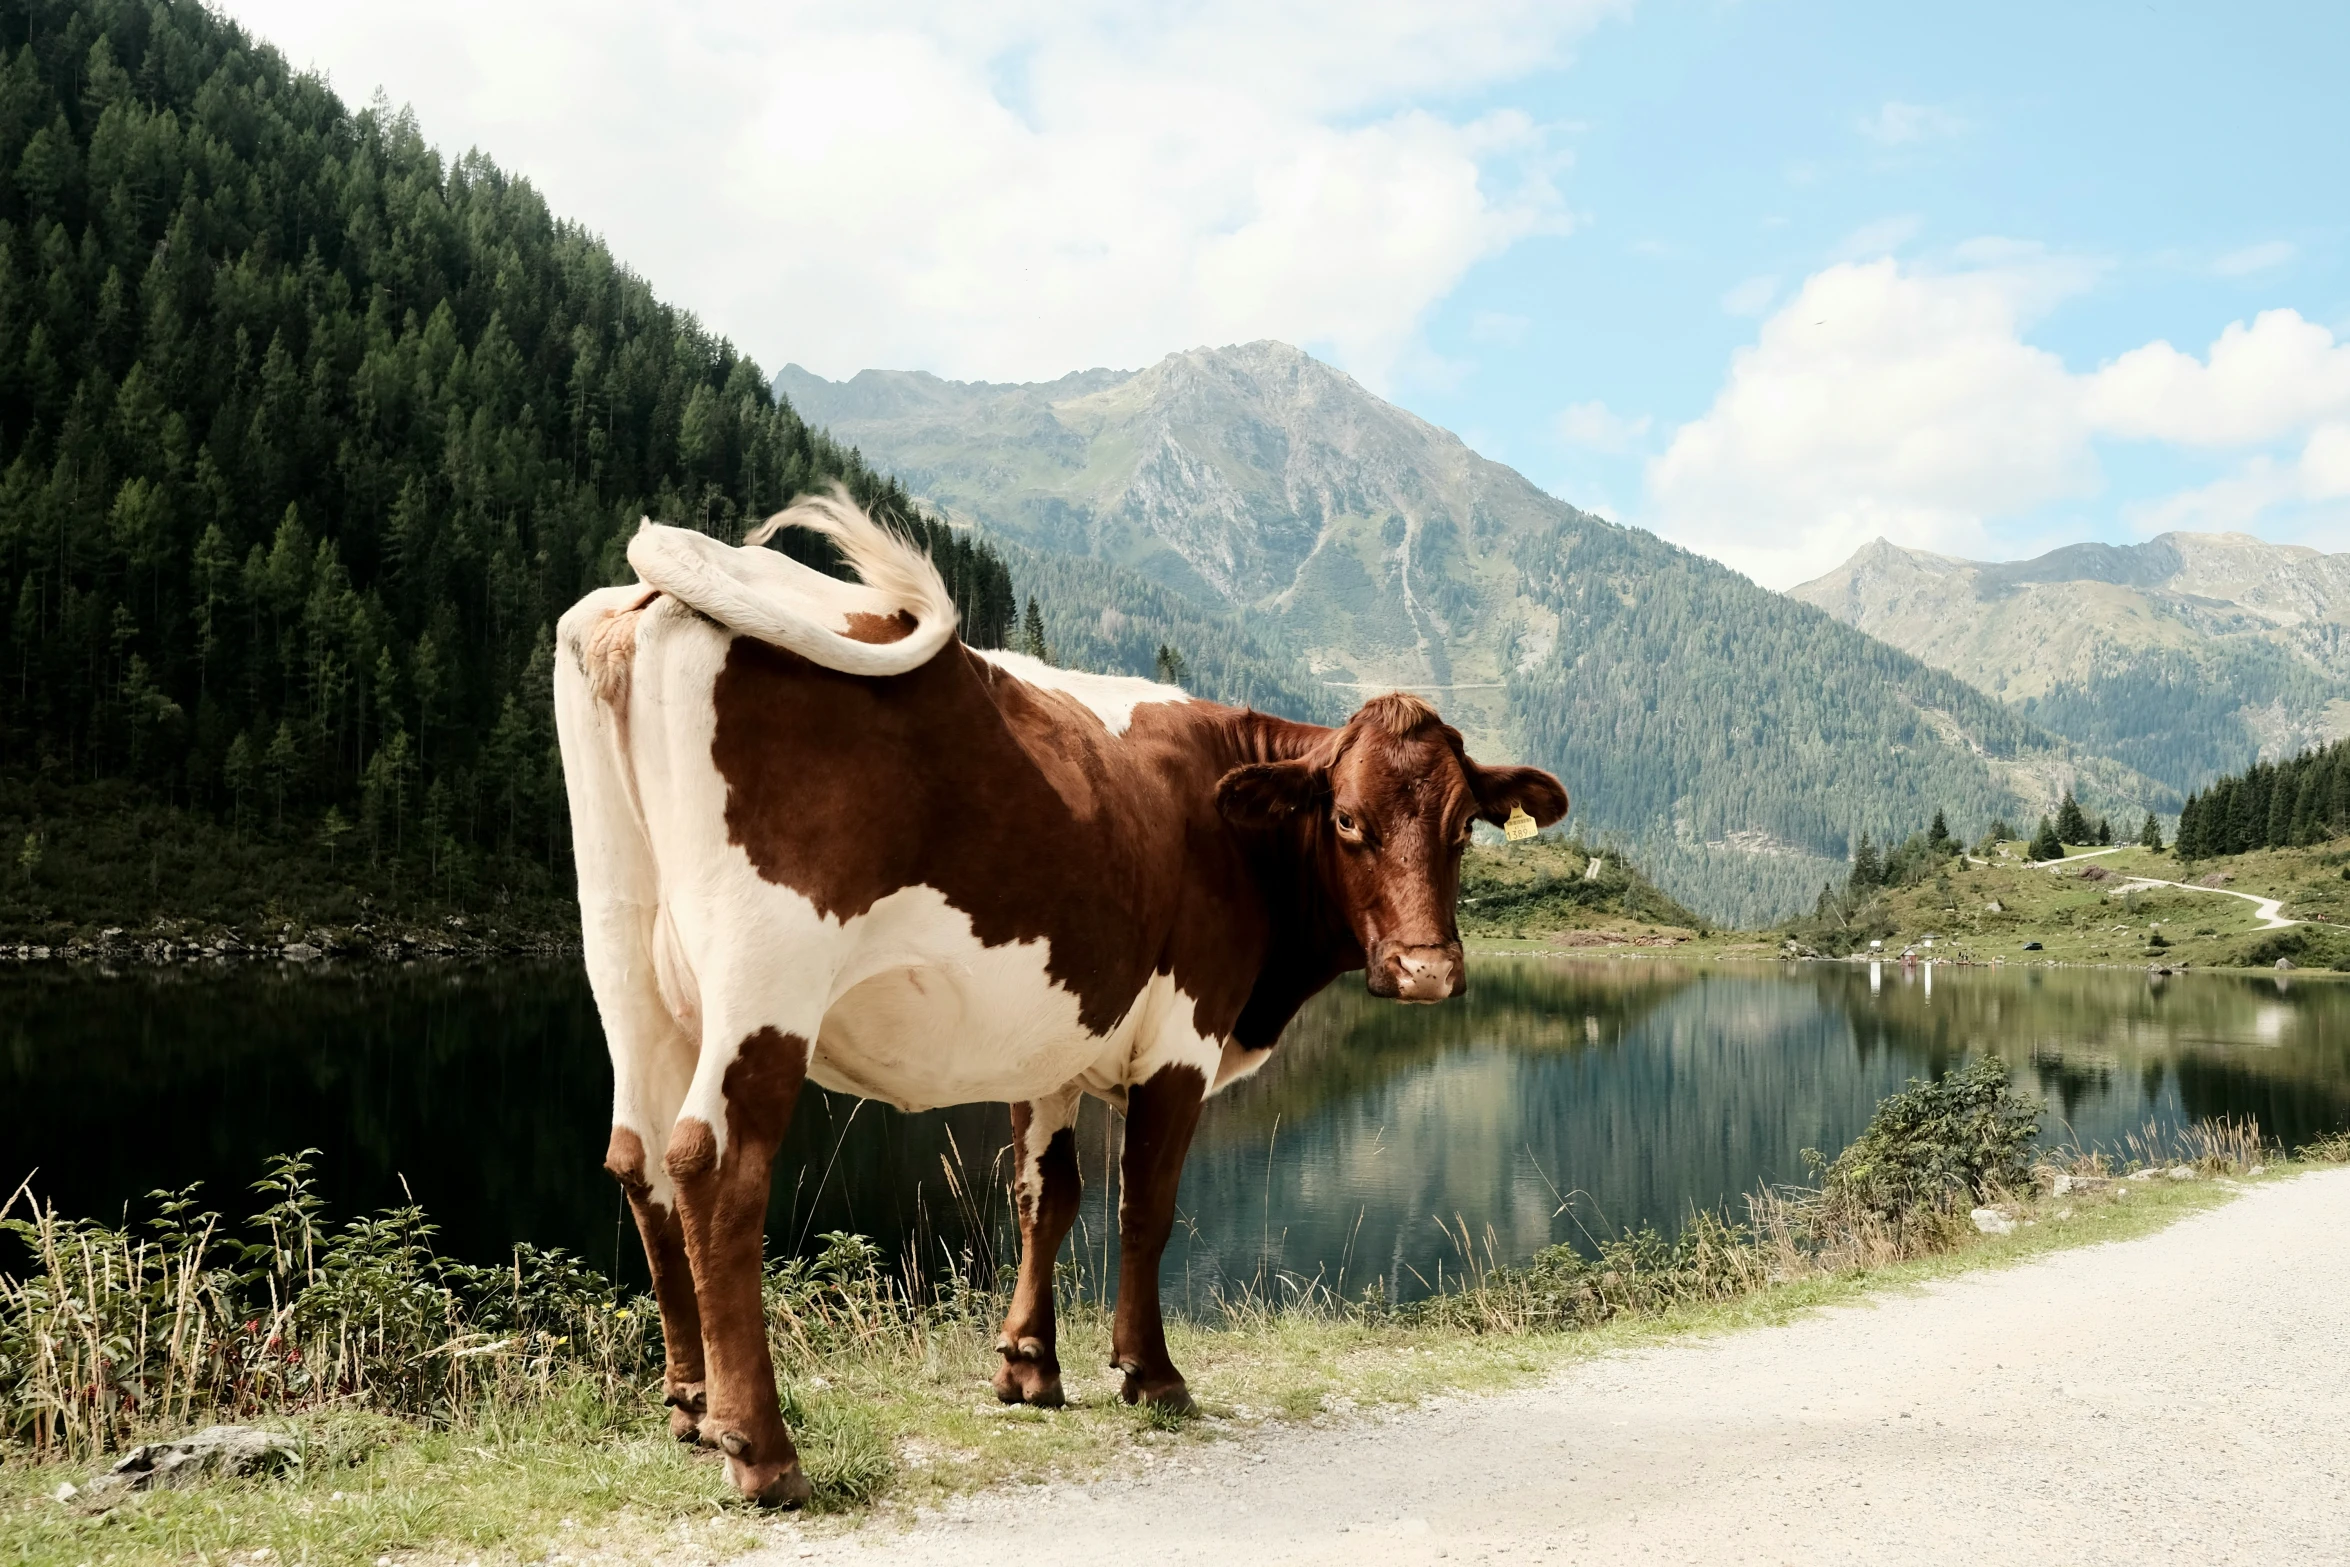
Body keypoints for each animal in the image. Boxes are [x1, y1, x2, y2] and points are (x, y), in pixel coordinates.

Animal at [554, 493, 1560, 1503]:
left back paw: (691, 1408)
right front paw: (1152, 1373)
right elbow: (1145, 1203)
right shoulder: (1183, 1033)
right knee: (717, 1165)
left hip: (622, 963)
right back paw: (762, 1448)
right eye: (1348, 820)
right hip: (766, 978)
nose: (1427, 970)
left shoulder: (1050, 1045)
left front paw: (1028, 1366)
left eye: (1463, 827)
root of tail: (643, 599)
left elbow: (1048, 1193)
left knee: (637, 1157)